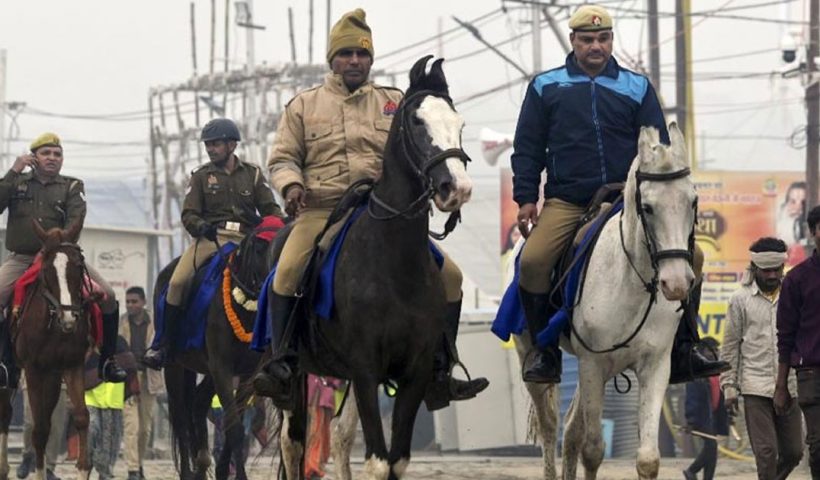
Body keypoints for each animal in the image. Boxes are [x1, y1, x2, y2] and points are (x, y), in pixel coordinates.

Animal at [0, 222, 93, 480]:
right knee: (6, 412)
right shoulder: (33, 370)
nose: (69, 318)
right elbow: (39, 429)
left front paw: (83, 468)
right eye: (47, 270)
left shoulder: (71, 365)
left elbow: (81, 416)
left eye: (78, 266)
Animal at [516, 124, 696, 480]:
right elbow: (593, 450)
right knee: (551, 426)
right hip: (533, 356)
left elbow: (647, 458)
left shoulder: (655, 365)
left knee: (571, 428)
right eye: (648, 207)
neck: (632, 283)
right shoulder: (592, 364)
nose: (677, 283)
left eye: (692, 201)